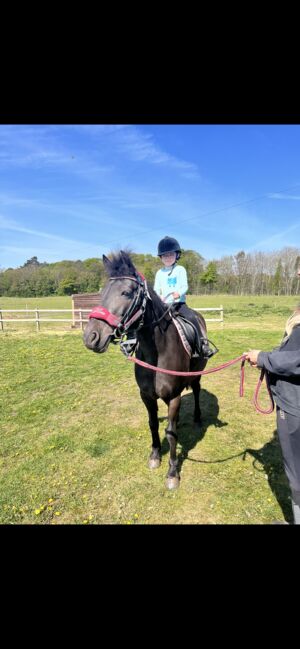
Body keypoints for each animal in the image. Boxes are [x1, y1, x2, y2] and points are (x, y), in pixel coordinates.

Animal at [82, 251, 209, 488]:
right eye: (102, 292)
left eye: (126, 292)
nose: (91, 337)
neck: (157, 353)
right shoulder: (146, 396)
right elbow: (152, 425)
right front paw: (155, 456)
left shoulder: (174, 397)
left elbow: (171, 434)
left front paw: (172, 473)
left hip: (197, 374)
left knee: (196, 390)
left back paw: (197, 418)